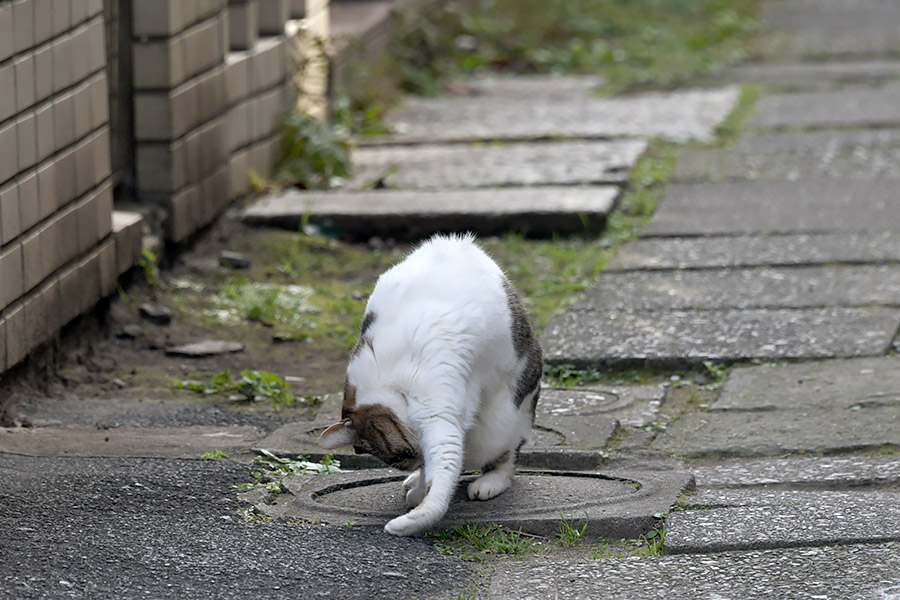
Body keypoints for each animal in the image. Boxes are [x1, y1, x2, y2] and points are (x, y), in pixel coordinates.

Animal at [318, 232, 540, 536]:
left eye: (401, 455)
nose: (415, 463)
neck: (392, 382)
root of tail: (459, 241)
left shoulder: (437, 407)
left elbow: (441, 468)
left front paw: (408, 518)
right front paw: (419, 484)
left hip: (500, 424)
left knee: (507, 454)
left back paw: (489, 482)